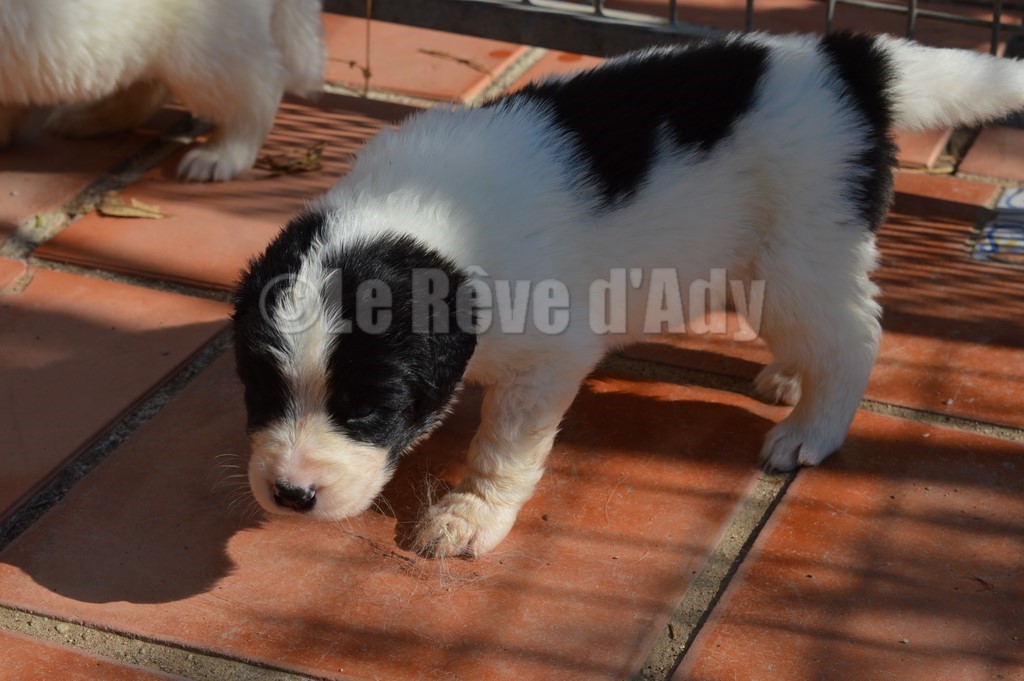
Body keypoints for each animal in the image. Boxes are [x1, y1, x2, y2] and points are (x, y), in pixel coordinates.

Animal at [233, 31, 1024, 557]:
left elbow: (504, 448)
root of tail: (849, 60)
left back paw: (812, 429)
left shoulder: (547, 356)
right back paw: (788, 377)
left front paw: (468, 516)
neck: (413, 212)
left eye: (369, 408)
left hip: (794, 257)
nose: (291, 494)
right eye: (260, 391)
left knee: (854, 335)